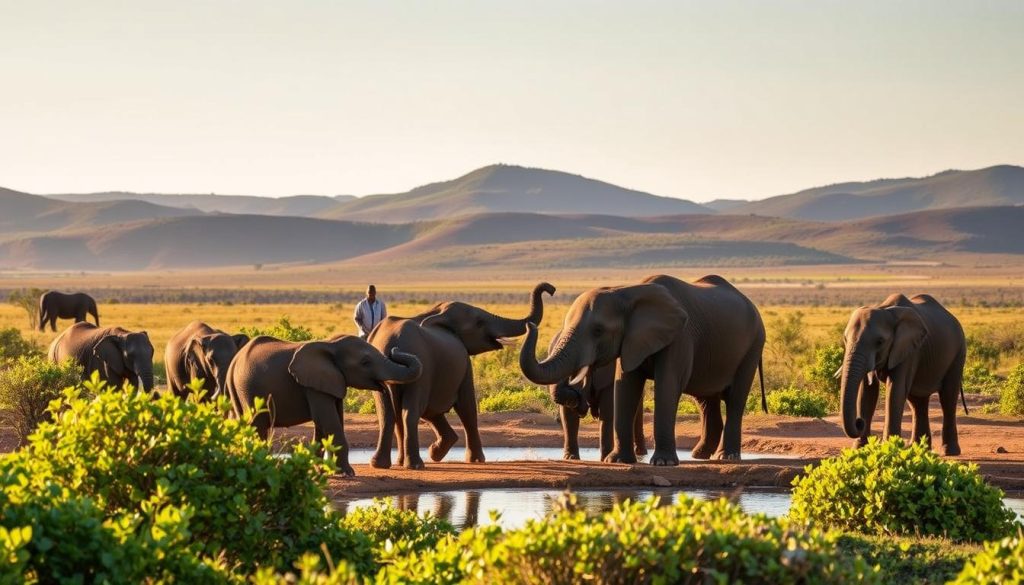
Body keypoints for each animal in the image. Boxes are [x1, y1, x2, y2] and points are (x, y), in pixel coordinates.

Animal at [225, 335, 422, 476]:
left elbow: (326, 423)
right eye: (365, 362)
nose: (394, 349)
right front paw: (347, 473)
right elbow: (328, 420)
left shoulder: (332, 382)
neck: (331, 345)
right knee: (257, 426)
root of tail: (234, 361)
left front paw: (320, 471)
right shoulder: (313, 386)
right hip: (247, 390)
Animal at [367, 282, 555, 470]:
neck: (436, 312)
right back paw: (415, 465)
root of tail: (392, 344)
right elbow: (467, 407)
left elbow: (432, 410)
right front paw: (475, 460)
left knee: (388, 414)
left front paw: (435, 452)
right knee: (409, 412)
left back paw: (383, 464)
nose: (551, 289)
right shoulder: (463, 362)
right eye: (479, 322)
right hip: (418, 368)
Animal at [547, 331, 646, 461]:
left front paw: (605, 459)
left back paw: (640, 453)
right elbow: (568, 416)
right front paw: (571, 458)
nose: (582, 409)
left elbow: (607, 413)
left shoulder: (610, 377)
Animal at [838, 293, 967, 455]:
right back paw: (918, 449)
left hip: (958, 352)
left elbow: (895, 390)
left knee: (948, 397)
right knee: (917, 402)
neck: (885, 309)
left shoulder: (909, 350)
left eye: (880, 342)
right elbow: (866, 393)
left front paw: (889, 449)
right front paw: (860, 450)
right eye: (845, 339)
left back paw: (949, 451)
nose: (859, 422)